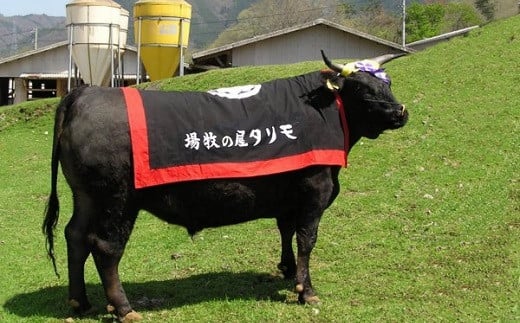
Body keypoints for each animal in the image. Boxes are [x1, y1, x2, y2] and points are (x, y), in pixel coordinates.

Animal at [42, 52, 408, 322]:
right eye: (362, 89)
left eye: (388, 83)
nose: (401, 112)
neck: (323, 112)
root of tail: (85, 93)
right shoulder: (314, 190)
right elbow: (307, 239)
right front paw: (307, 290)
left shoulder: (290, 197)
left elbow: (286, 231)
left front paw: (288, 270)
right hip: (117, 201)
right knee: (105, 247)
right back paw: (123, 308)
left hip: (86, 197)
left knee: (75, 236)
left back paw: (79, 302)